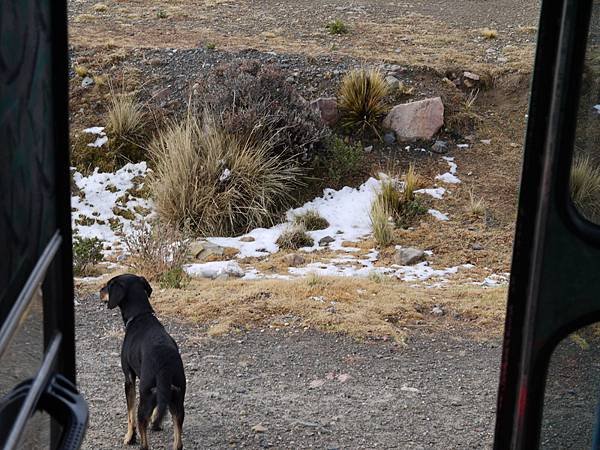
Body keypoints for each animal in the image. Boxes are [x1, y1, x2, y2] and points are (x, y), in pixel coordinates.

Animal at [100, 274, 185, 450]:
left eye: (109, 285)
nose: (100, 290)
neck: (140, 316)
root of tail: (165, 367)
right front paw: (156, 423)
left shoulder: (129, 378)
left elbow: (130, 415)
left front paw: (129, 437)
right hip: (178, 404)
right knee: (178, 443)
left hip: (144, 398)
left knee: (144, 441)